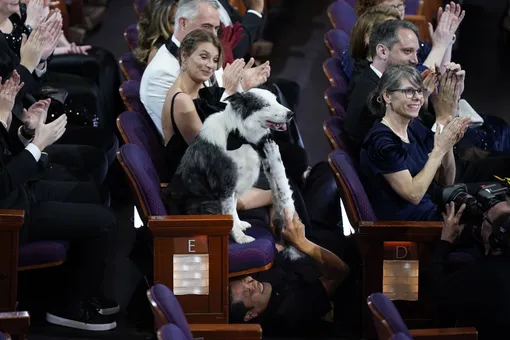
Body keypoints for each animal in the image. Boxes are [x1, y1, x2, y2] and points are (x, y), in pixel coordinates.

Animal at [167, 87, 302, 258]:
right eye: (265, 105)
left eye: (276, 100)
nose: (290, 114)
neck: (238, 135)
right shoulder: (225, 186)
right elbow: (229, 212)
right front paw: (240, 238)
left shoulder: (235, 186)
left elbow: (234, 209)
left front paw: (239, 225)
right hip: (208, 204)